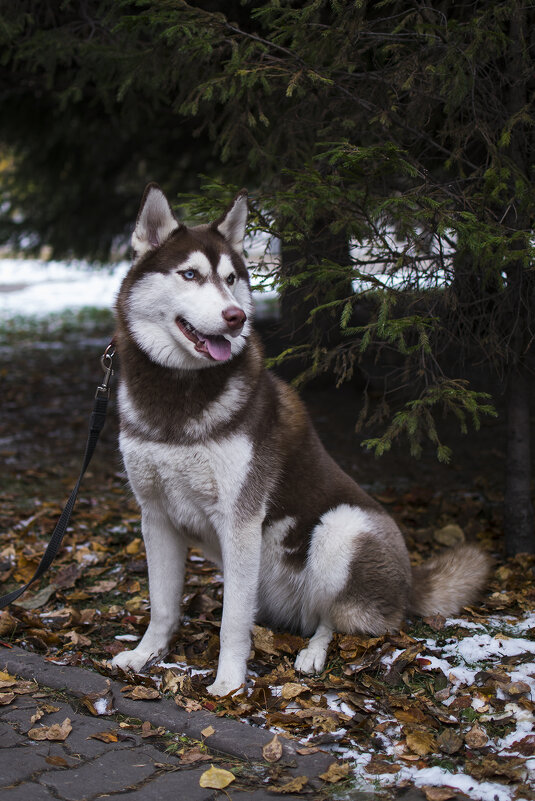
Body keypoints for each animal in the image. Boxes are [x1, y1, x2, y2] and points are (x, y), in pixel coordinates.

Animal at [112, 183, 490, 692]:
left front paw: (229, 683)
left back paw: (313, 653)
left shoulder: (240, 518)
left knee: (338, 619)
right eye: (190, 274)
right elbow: (162, 605)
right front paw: (146, 654)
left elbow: (232, 622)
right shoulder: (155, 514)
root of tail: (411, 583)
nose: (235, 317)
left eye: (231, 278)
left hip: (341, 528)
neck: (177, 394)